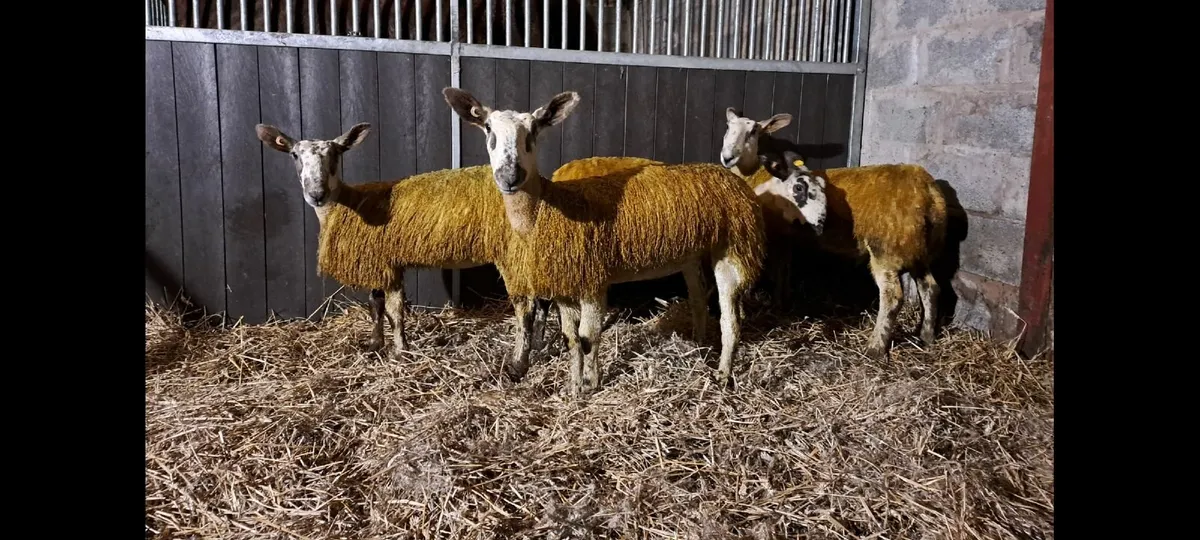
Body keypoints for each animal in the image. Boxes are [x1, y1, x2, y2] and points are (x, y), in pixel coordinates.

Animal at [443, 87, 767, 395]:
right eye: (487, 128)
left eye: (534, 130)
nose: (510, 176)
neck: (548, 208)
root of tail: (730, 177)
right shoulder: (565, 285)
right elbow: (571, 339)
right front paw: (573, 387)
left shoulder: (593, 280)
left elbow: (588, 338)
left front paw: (591, 384)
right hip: (692, 256)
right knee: (699, 301)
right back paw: (698, 347)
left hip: (734, 249)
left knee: (730, 321)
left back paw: (723, 375)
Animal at [719, 108, 949, 359]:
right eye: (728, 127)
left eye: (753, 131)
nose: (727, 157)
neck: (754, 173)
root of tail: (928, 192)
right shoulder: (786, 236)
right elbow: (784, 269)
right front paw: (783, 303)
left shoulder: (775, 234)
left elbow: (777, 268)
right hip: (917, 247)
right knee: (931, 288)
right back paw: (926, 336)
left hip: (886, 248)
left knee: (892, 297)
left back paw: (875, 347)